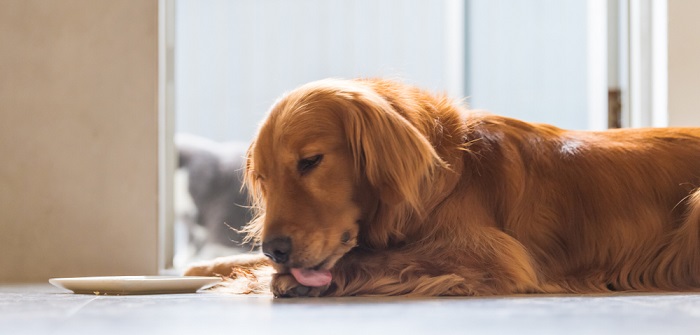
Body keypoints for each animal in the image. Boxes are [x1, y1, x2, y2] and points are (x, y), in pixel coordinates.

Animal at [186, 78, 700, 296]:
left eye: (310, 162)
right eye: (263, 178)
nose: (275, 248)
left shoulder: (493, 254)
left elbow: (383, 257)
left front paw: (283, 279)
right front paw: (209, 267)